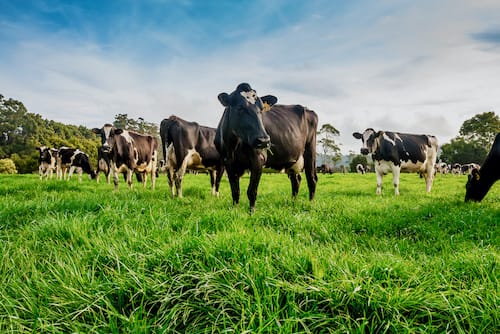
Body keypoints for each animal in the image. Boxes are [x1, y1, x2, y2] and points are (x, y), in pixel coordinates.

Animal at [214, 82, 316, 211]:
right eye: (240, 108)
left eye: (261, 109)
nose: (264, 140)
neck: (232, 146)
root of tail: (307, 109)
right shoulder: (228, 163)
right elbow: (235, 191)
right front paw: (235, 210)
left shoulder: (259, 159)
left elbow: (252, 191)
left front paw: (251, 212)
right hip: (293, 160)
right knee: (296, 180)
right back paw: (293, 203)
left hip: (310, 151)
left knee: (312, 179)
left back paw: (311, 204)